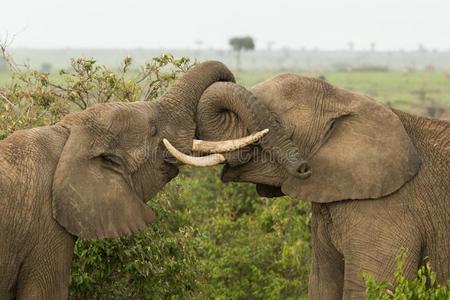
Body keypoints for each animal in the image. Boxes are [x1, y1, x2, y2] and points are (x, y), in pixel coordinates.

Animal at [166, 75, 450, 300]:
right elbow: (322, 285)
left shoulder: (389, 210)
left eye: (275, 121)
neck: (346, 102)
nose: (302, 167)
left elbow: (372, 289)